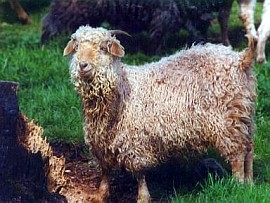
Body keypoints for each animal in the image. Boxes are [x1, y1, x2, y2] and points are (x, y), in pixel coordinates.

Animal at [63, 26, 255, 202]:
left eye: (103, 47)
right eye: (77, 47)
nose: (82, 65)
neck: (123, 90)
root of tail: (240, 60)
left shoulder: (135, 142)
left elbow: (139, 173)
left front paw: (142, 197)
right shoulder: (100, 142)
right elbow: (105, 170)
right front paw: (101, 194)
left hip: (227, 123)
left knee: (237, 155)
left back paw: (238, 186)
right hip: (244, 118)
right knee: (249, 150)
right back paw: (250, 184)